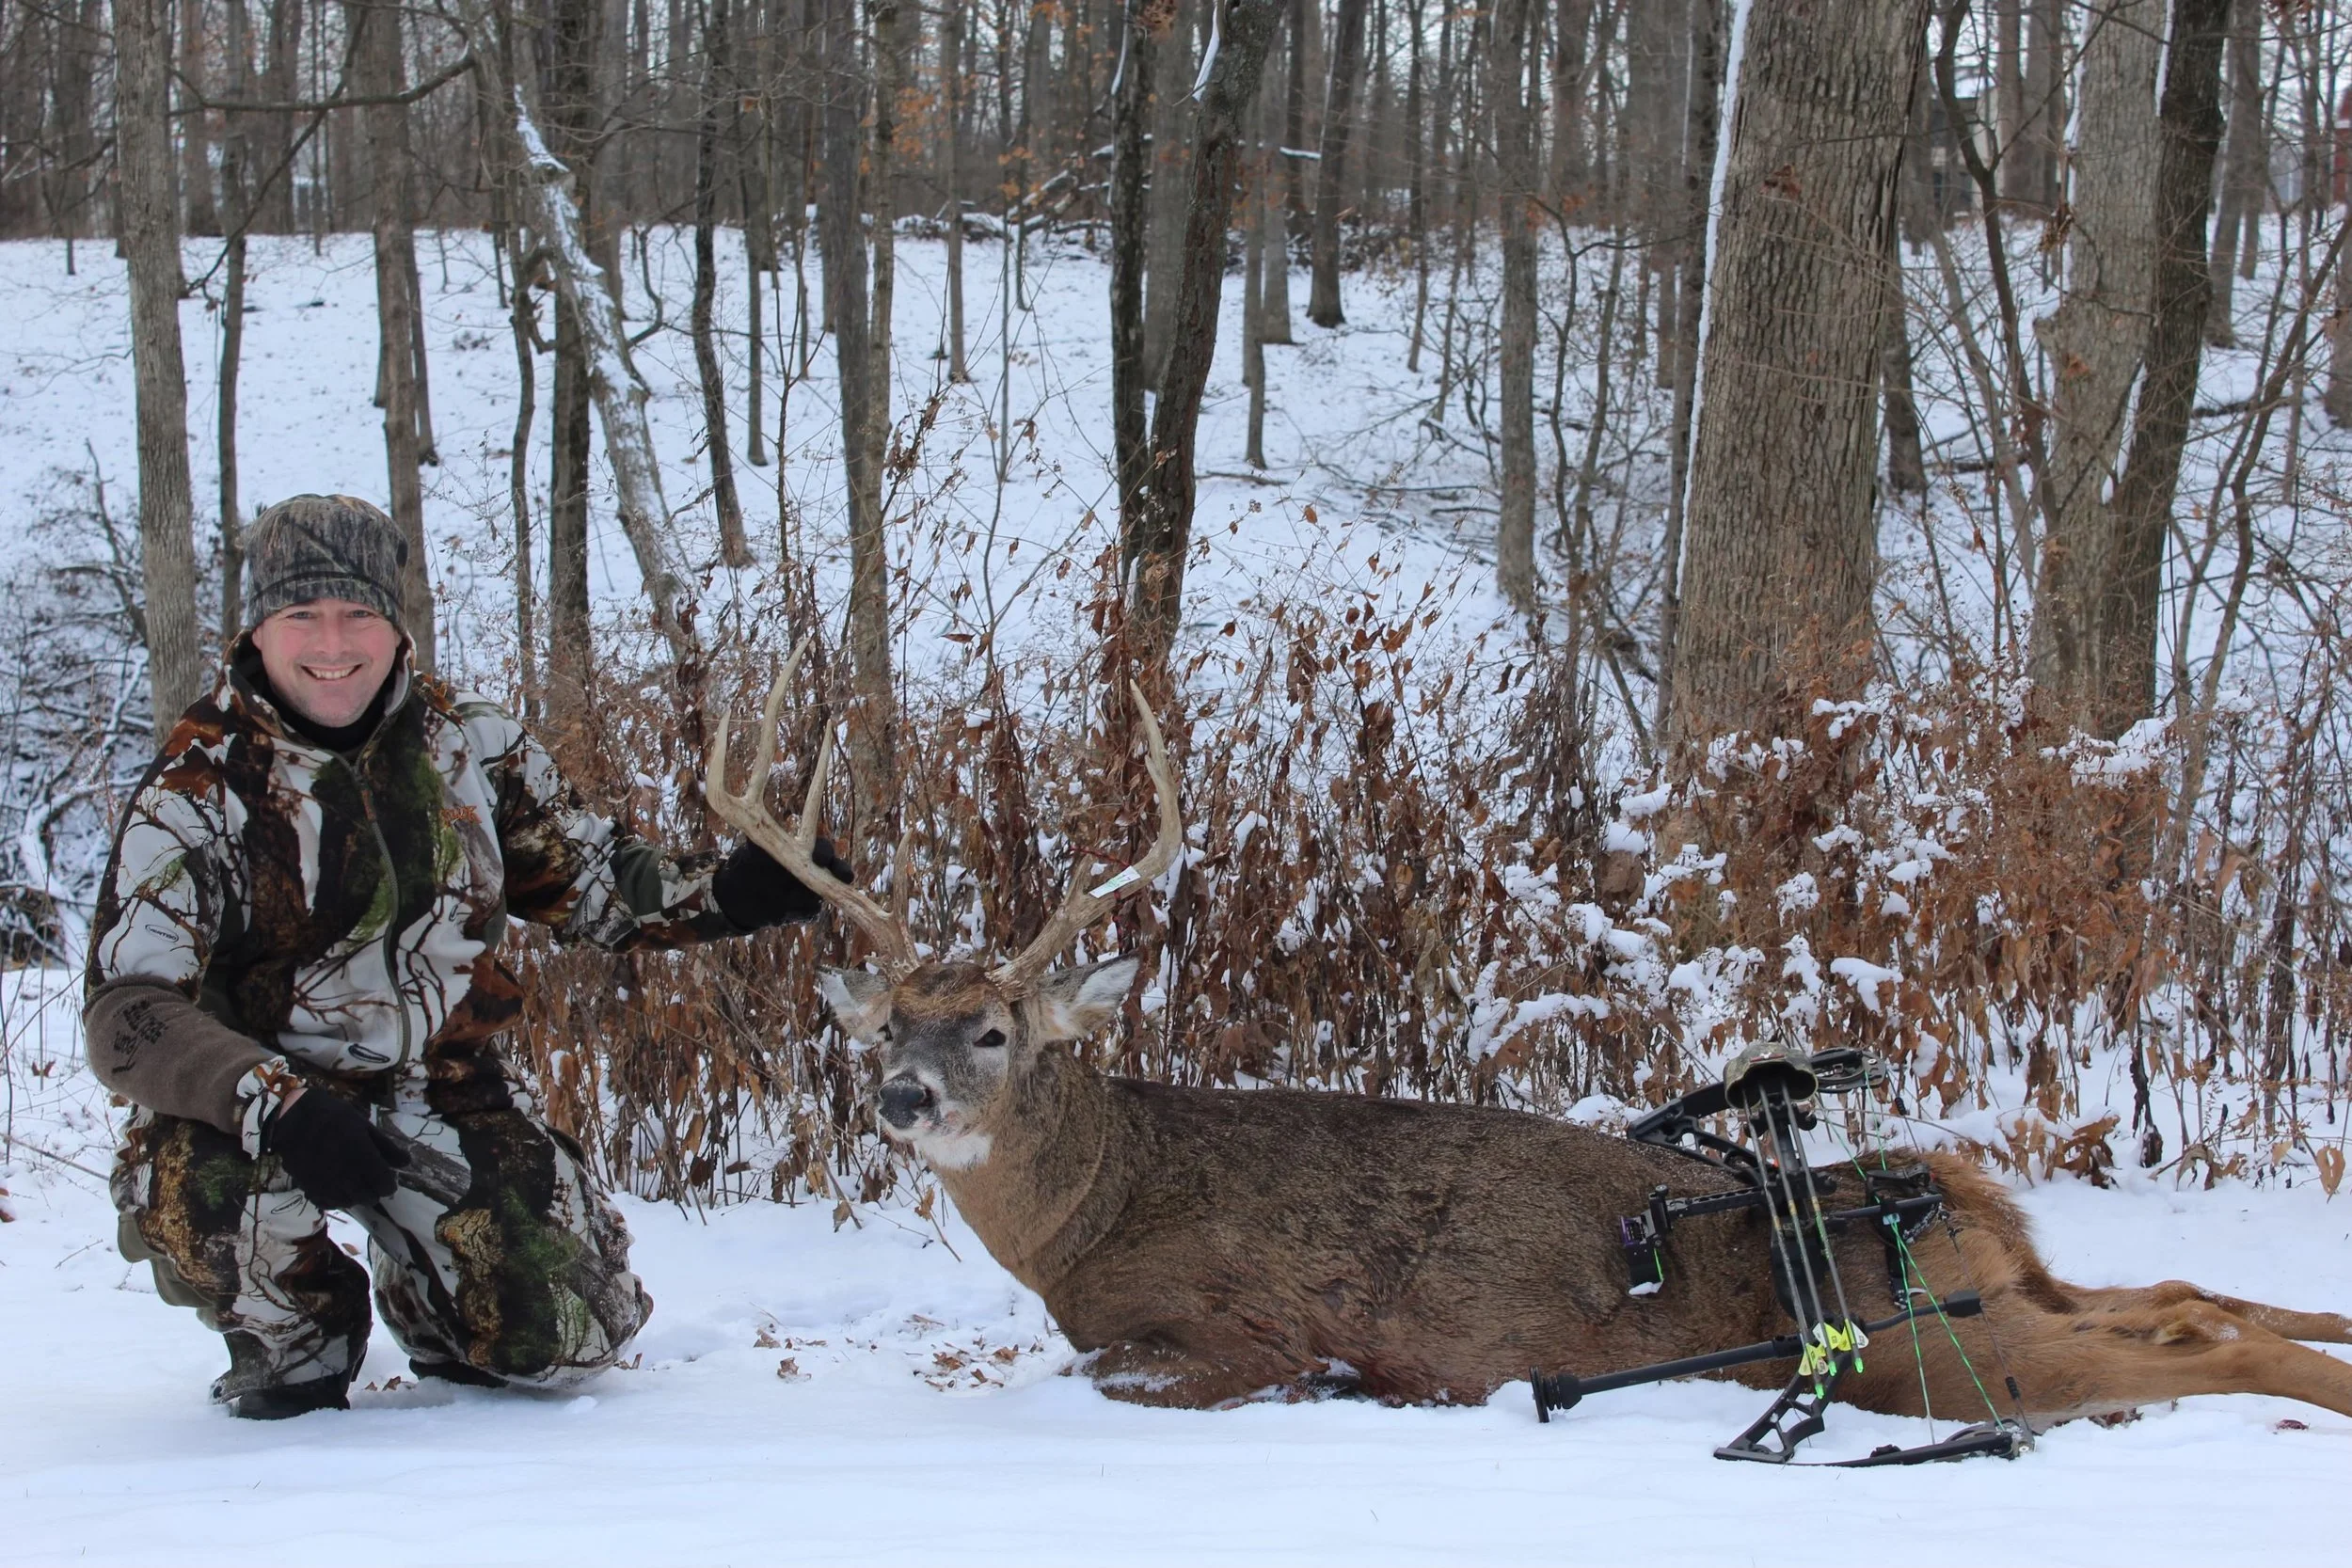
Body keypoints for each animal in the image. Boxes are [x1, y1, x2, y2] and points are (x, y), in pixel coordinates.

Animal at [707, 652, 2352, 1429]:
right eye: (891, 1019)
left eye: (993, 1026)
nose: (900, 1093)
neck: (1096, 1211)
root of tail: (1955, 1196)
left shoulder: (1225, 1327)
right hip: (2003, 1296)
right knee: (2184, 1295)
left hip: (1929, 1348)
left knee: (2199, 1341)